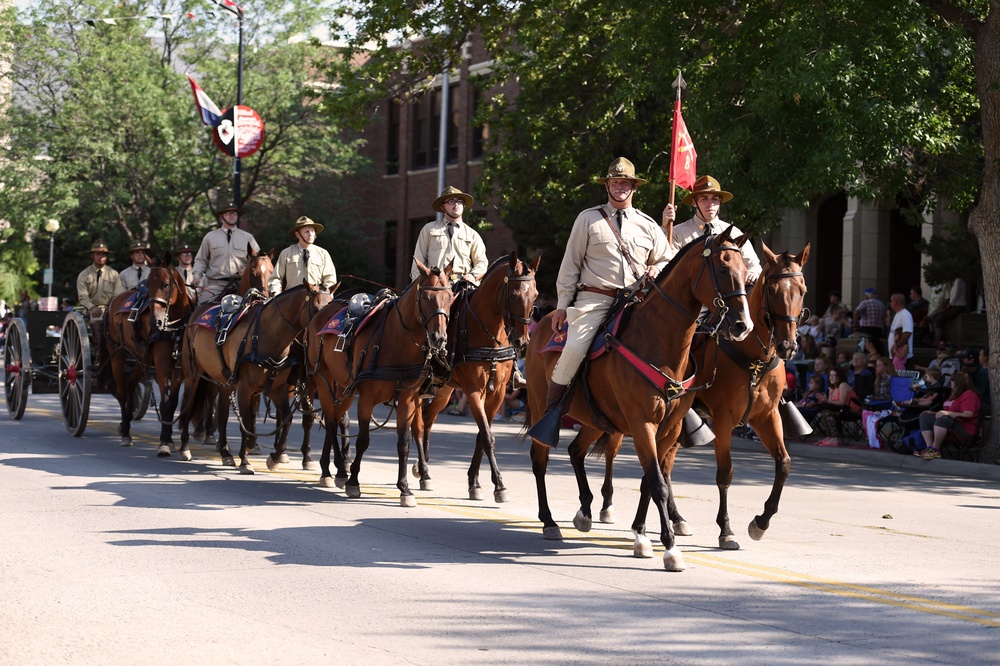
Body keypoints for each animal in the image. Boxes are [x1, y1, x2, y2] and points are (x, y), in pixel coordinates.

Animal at [105, 252, 193, 454]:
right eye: (149, 286)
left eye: (166, 284)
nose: (155, 322)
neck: (175, 326)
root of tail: (115, 299)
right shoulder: (162, 363)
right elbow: (165, 402)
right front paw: (164, 443)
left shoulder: (179, 368)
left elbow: (172, 403)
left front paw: (169, 439)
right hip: (117, 353)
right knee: (122, 392)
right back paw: (126, 432)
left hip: (141, 359)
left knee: (130, 385)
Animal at [180, 280, 332, 472]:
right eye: (317, 308)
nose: (324, 337)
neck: (267, 335)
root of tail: (198, 311)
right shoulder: (246, 389)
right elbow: (247, 424)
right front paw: (246, 458)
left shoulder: (277, 390)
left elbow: (286, 420)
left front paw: (275, 457)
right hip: (192, 375)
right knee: (187, 406)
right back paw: (184, 447)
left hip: (224, 383)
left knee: (222, 415)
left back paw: (225, 452)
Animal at [306, 258, 456, 504]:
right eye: (425, 297)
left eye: (450, 296)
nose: (439, 338)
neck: (397, 340)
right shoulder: (367, 398)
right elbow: (363, 440)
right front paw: (353, 482)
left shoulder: (407, 399)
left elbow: (404, 443)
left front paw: (405, 489)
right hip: (324, 383)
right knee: (331, 421)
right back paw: (333, 471)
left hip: (344, 389)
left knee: (335, 418)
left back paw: (334, 469)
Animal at [412, 252, 544, 500]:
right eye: (513, 294)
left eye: (536, 295)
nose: (522, 342)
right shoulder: (474, 391)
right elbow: (487, 437)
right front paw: (499, 485)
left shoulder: (497, 393)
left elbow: (482, 436)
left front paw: (474, 482)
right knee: (419, 423)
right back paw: (422, 471)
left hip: (445, 390)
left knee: (428, 419)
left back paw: (423, 468)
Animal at [524, 230, 752, 572]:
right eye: (723, 268)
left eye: (746, 270)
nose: (742, 325)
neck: (659, 343)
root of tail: (543, 322)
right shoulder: (643, 423)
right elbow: (657, 482)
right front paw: (669, 548)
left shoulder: (668, 430)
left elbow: (650, 479)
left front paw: (642, 536)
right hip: (543, 408)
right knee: (540, 460)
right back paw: (549, 521)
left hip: (596, 418)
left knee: (576, 451)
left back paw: (585, 512)